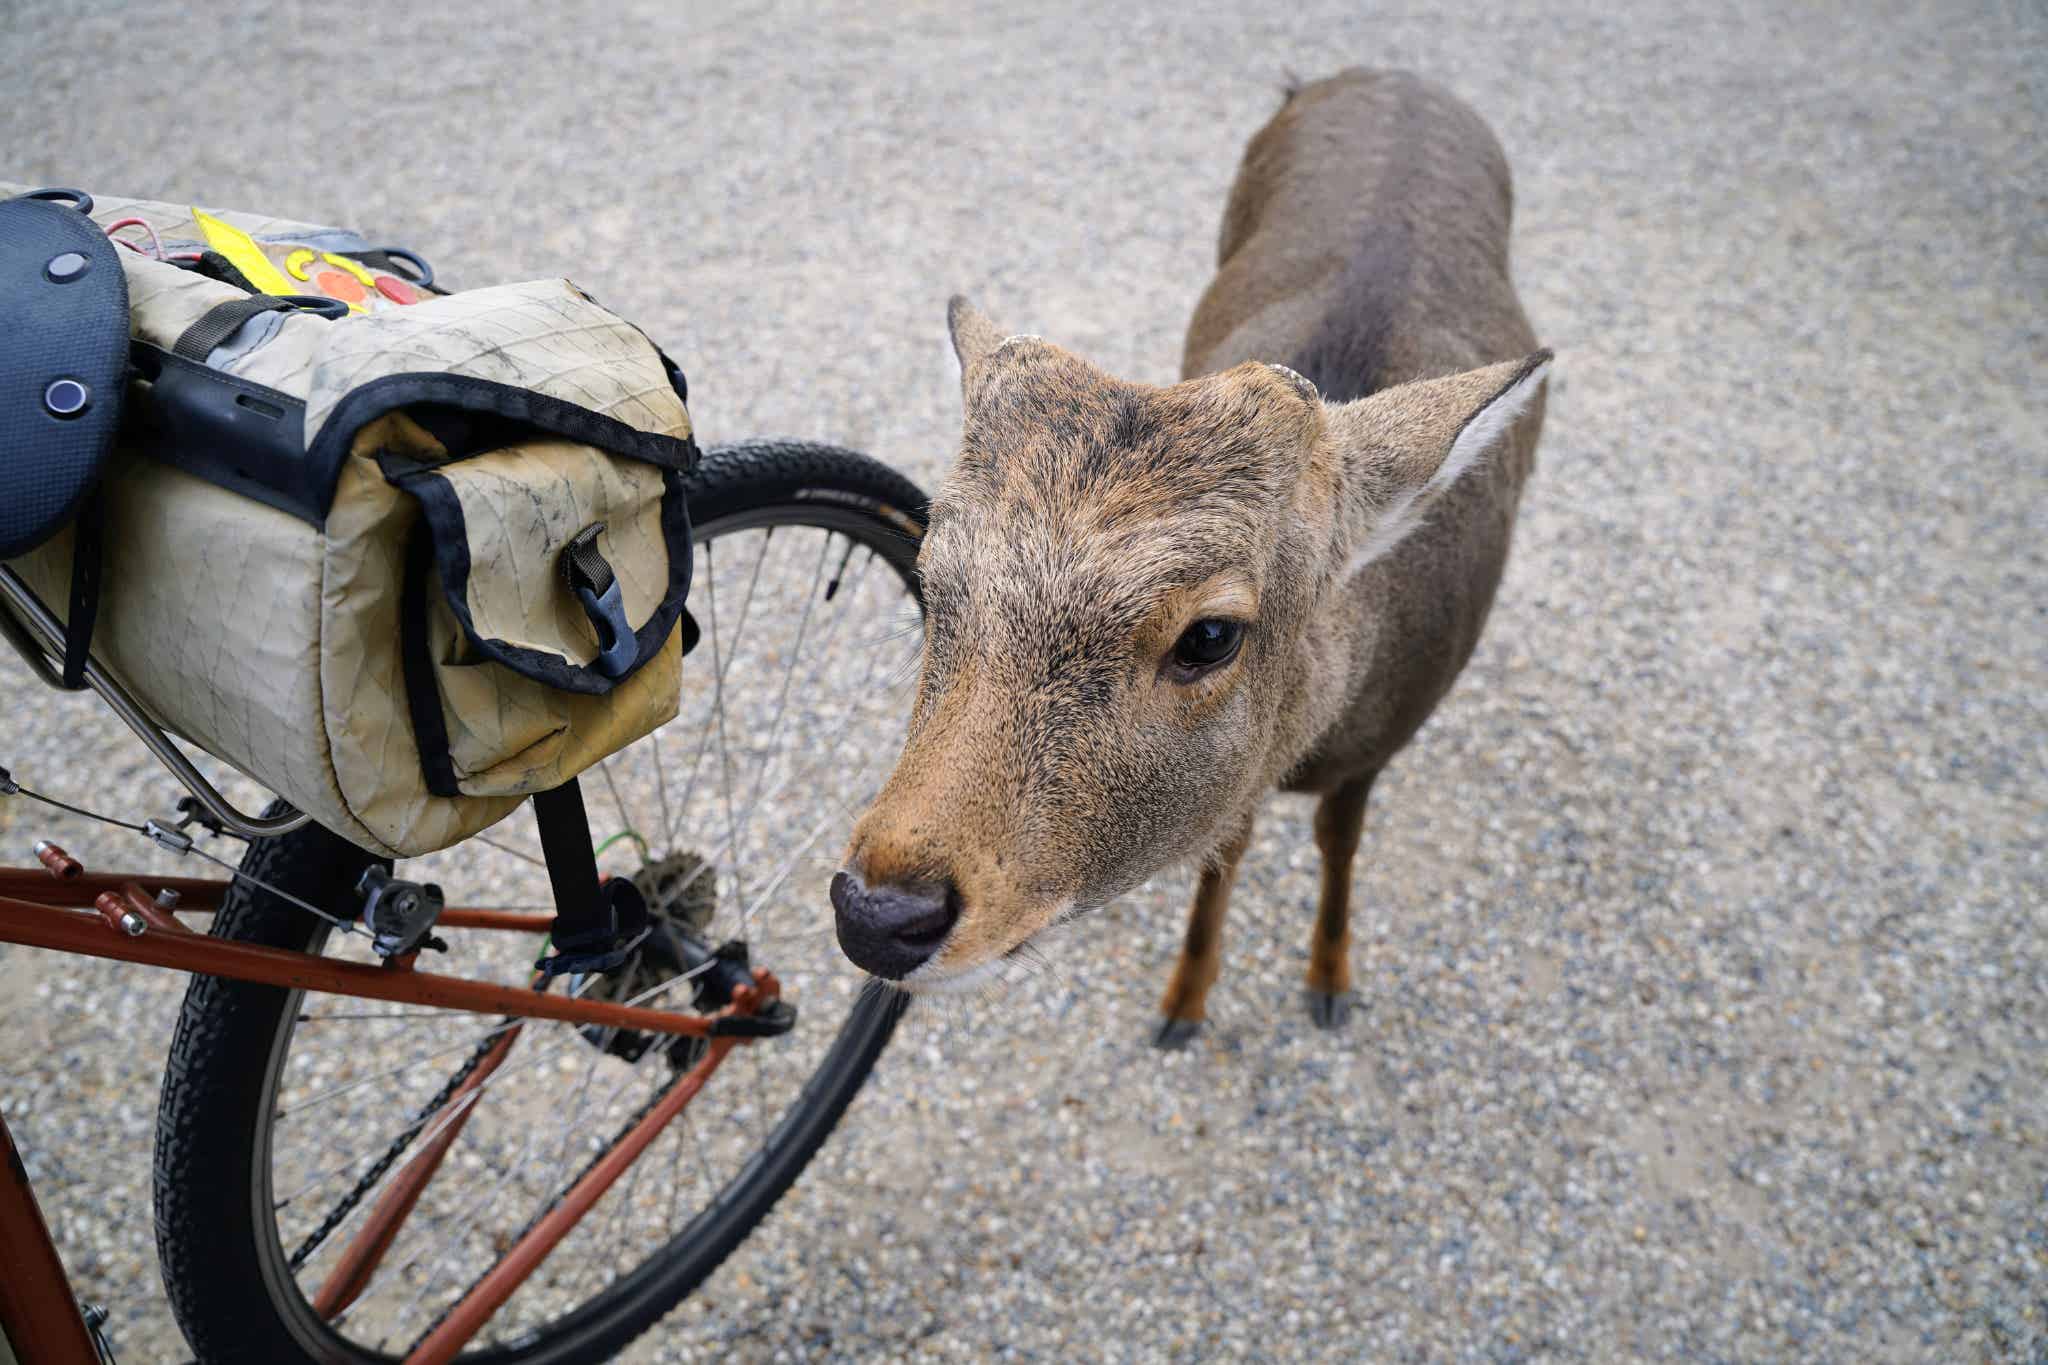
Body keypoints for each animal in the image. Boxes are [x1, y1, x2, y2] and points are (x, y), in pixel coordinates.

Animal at [830, 68, 1551, 1048]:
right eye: (933, 579)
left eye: (1210, 634)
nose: (878, 912)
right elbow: (1224, 850)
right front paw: (1184, 1002)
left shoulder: (1386, 739)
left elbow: (1341, 841)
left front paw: (1330, 982)